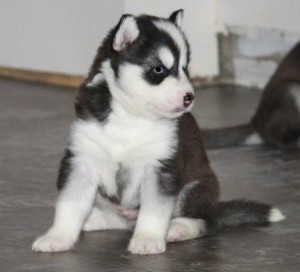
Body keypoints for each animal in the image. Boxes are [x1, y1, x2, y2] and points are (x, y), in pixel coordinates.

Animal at [31, 9, 284, 255]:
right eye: (159, 69)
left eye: (184, 68)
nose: (189, 97)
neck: (130, 117)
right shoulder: (82, 160)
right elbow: (70, 204)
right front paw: (58, 236)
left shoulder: (160, 168)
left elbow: (154, 210)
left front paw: (147, 239)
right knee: (116, 219)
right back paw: (92, 220)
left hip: (196, 189)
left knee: (205, 221)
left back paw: (177, 228)